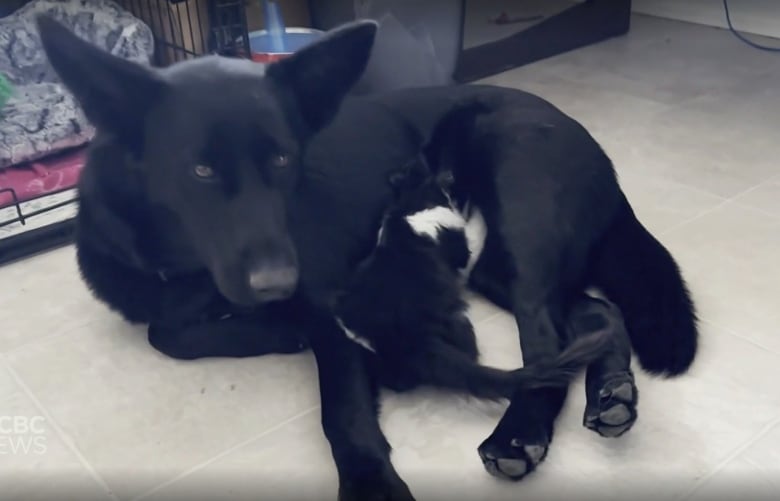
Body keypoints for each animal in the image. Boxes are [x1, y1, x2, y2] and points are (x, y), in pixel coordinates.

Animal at [36, 15, 696, 500]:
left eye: (283, 159)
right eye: (199, 171)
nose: (281, 284)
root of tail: (588, 140)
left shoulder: (334, 318)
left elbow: (342, 412)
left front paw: (369, 481)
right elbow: (165, 332)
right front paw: (266, 327)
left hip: (520, 219)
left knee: (545, 341)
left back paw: (520, 434)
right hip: (493, 265)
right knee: (593, 315)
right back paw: (612, 391)